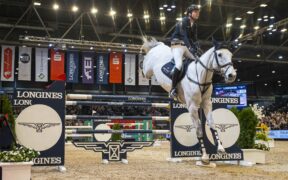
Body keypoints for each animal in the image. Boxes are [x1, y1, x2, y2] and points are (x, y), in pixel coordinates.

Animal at [142, 37, 236, 166]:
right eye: (220, 54)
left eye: (231, 55)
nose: (232, 75)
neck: (201, 76)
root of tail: (158, 46)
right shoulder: (192, 107)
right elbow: (199, 130)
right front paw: (204, 156)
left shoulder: (207, 104)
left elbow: (212, 124)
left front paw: (220, 148)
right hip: (148, 69)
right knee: (144, 70)